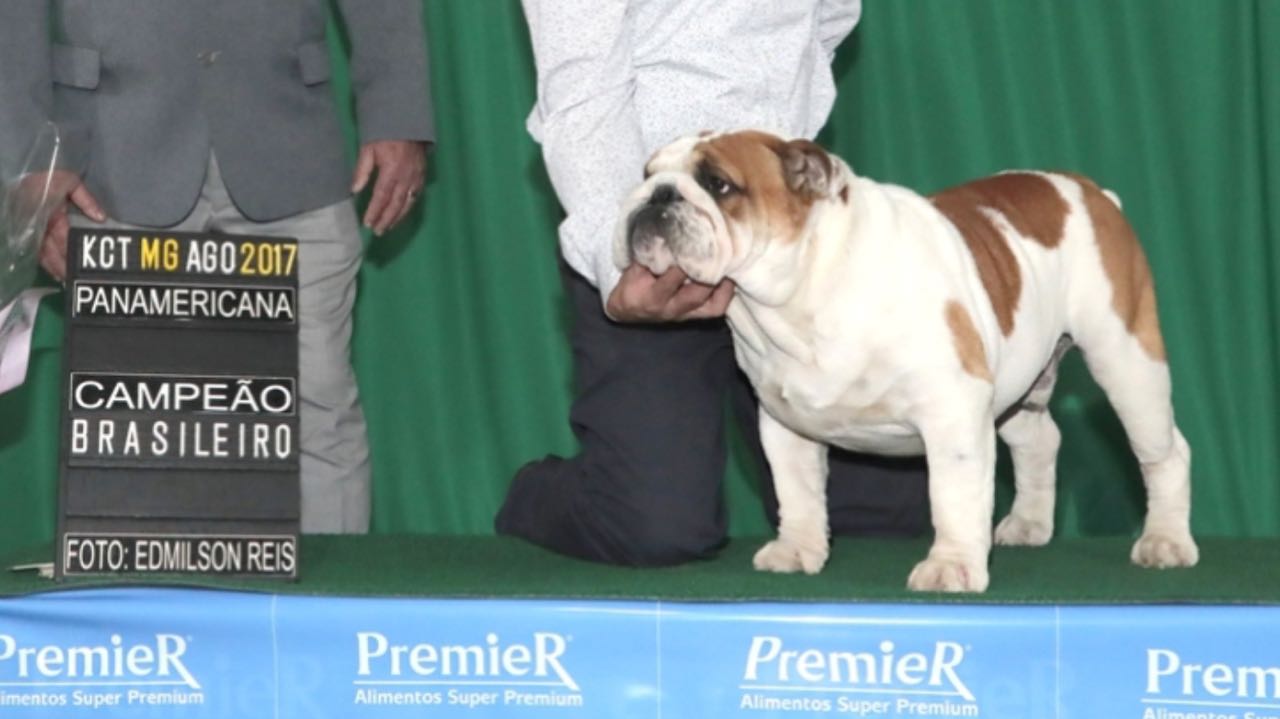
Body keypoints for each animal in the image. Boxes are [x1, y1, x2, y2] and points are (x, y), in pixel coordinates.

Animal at [615, 129, 1198, 592]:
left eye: (718, 184)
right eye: (645, 174)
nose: (655, 194)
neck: (804, 292)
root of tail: (1089, 190)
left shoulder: (954, 410)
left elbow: (952, 493)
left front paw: (952, 566)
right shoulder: (784, 423)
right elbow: (796, 490)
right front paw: (797, 550)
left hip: (1126, 359)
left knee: (1165, 452)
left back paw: (1166, 541)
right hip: (1014, 384)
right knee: (1040, 440)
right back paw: (1029, 524)